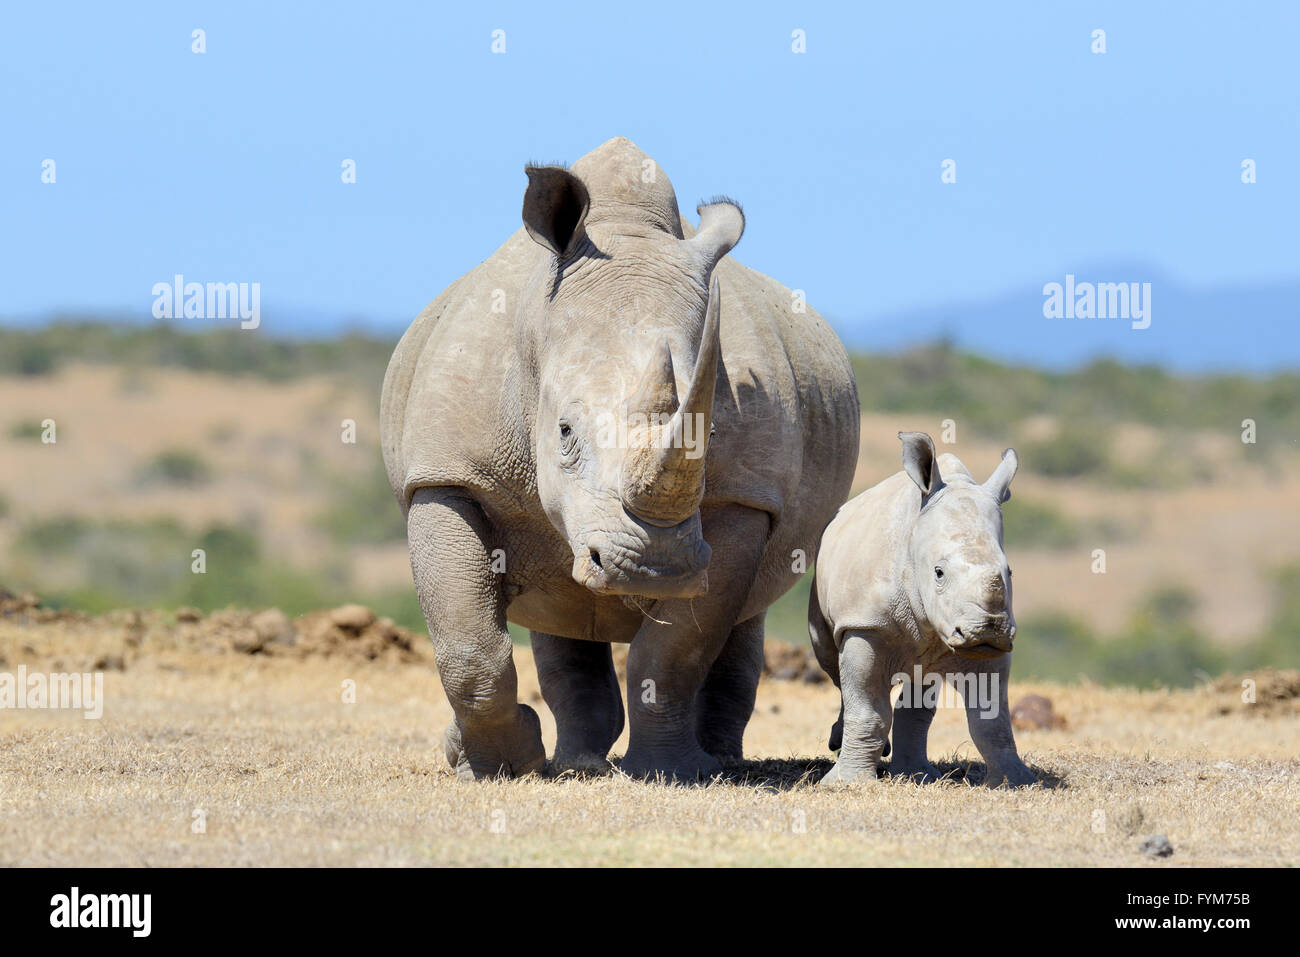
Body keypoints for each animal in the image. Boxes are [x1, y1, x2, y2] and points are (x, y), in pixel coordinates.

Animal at [379, 136, 857, 780]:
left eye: (708, 433)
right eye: (564, 432)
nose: (653, 566)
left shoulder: (743, 498)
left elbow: (674, 653)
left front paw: (675, 772)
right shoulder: (446, 475)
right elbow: (468, 645)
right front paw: (494, 765)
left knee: (741, 618)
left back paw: (716, 760)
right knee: (560, 608)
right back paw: (573, 761)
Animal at [811, 431, 1034, 785]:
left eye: (1009, 573)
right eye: (939, 573)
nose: (988, 628)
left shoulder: (991, 648)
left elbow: (993, 722)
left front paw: (1017, 781)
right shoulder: (864, 623)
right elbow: (867, 708)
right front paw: (846, 784)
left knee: (920, 683)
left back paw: (917, 774)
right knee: (834, 664)